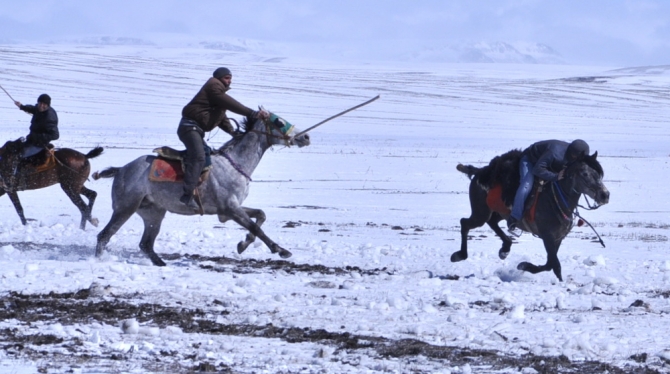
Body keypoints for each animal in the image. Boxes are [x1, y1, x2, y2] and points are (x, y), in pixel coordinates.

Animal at [94, 115, 312, 264]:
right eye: (279, 122)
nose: (306, 137)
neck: (234, 164)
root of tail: (121, 170)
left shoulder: (227, 211)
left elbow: (260, 215)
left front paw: (243, 244)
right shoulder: (230, 209)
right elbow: (255, 227)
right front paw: (281, 250)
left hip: (153, 213)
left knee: (145, 244)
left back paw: (161, 264)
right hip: (125, 208)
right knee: (104, 235)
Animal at [454, 149, 612, 280]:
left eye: (598, 174)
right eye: (585, 173)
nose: (605, 195)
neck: (555, 199)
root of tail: (479, 172)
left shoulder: (558, 238)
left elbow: (550, 264)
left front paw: (524, 266)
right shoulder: (547, 236)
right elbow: (555, 265)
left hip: (498, 213)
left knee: (492, 222)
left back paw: (505, 249)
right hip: (480, 213)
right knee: (465, 223)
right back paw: (459, 255)